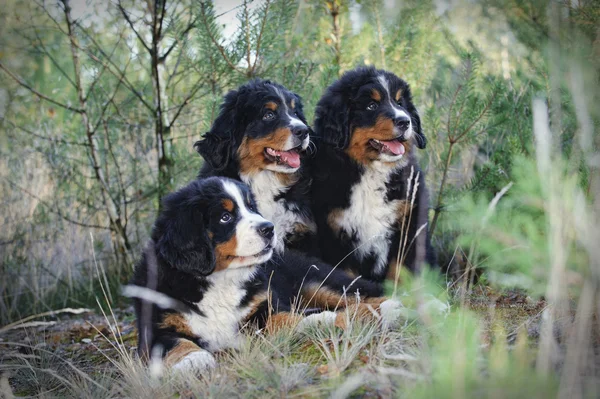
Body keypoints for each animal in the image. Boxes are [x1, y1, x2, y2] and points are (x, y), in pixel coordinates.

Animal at [310, 69, 436, 286]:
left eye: (400, 103)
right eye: (371, 105)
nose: (405, 121)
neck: (372, 172)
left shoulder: (409, 226)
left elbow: (401, 272)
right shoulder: (337, 233)